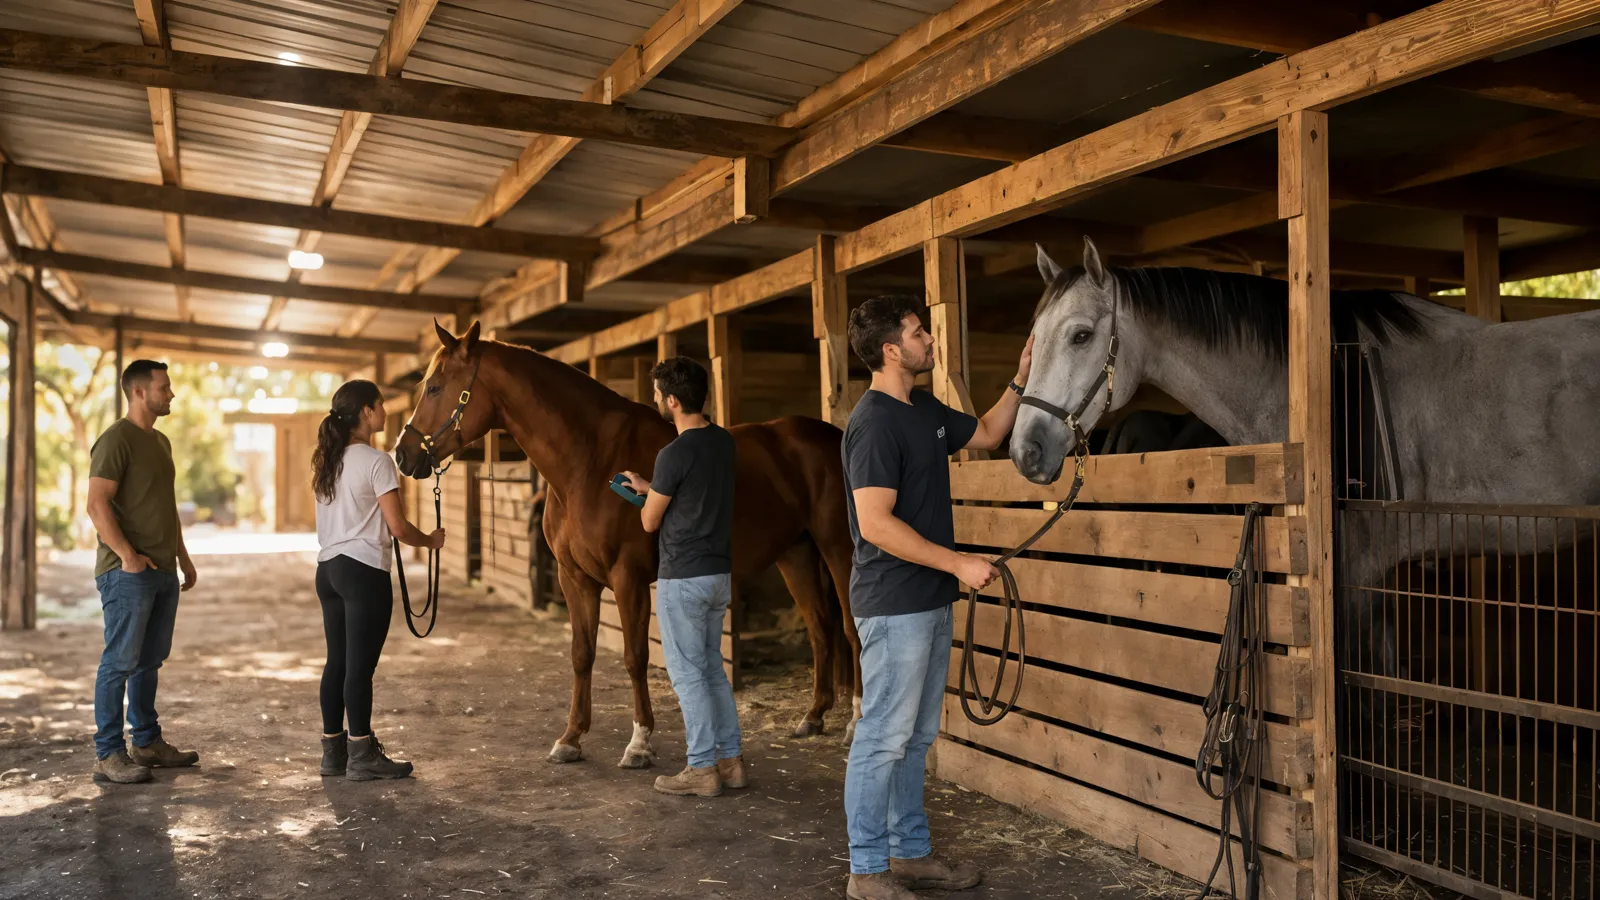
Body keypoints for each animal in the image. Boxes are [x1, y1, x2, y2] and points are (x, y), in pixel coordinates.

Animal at [394, 322, 860, 768]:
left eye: (435, 387)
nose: (402, 455)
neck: (589, 462)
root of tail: (830, 435)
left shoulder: (628, 577)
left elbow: (635, 656)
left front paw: (639, 744)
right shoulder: (574, 578)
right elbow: (581, 654)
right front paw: (570, 739)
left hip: (840, 551)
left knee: (852, 629)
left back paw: (855, 723)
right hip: (795, 554)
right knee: (821, 627)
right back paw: (813, 717)